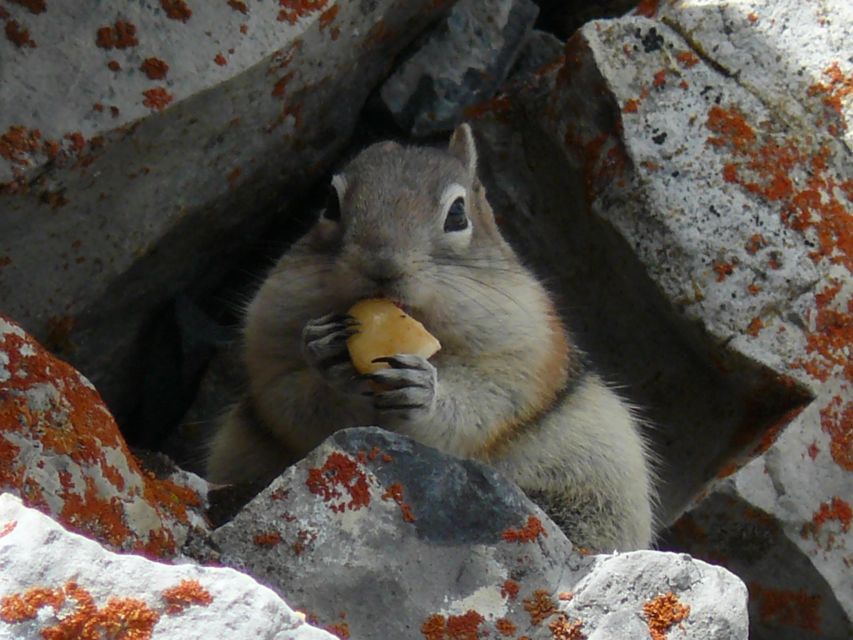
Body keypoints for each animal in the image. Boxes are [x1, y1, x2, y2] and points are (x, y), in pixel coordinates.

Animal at [206, 124, 652, 552]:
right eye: (331, 204)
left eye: (457, 214)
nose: (382, 264)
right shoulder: (267, 344)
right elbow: (288, 402)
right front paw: (326, 357)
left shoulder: (525, 352)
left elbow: (484, 405)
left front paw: (425, 390)